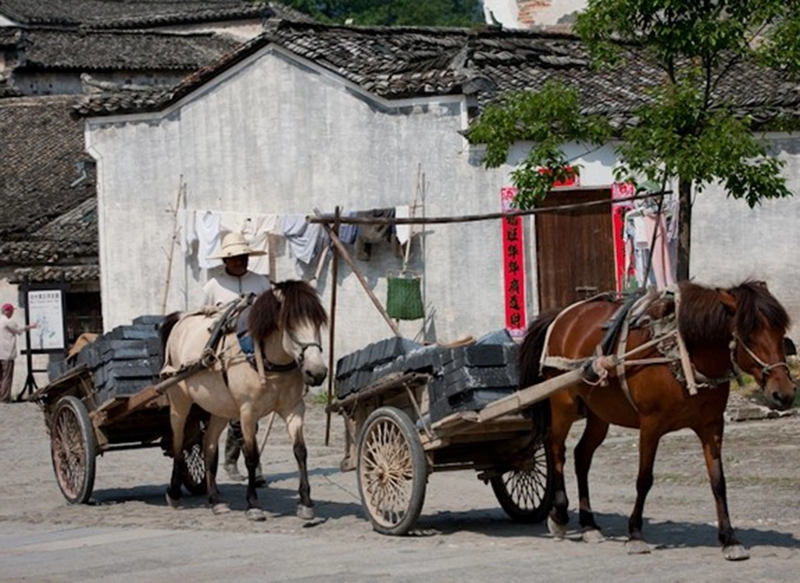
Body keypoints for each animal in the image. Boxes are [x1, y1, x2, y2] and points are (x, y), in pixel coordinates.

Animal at [160, 280, 328, 524]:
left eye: (318, 322)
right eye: (289, 324)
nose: (317, 372)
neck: (267, 358)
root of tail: (182, 318)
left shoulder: (294, 408)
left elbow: (300, 451)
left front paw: (305, 503)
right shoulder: (248, 412)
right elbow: (251, 456)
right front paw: (253, 505)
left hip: (219, 408)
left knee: (209, 447)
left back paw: (216, 500)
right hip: (179, 401)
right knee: (178, 443)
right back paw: (173, 493)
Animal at [520, 280, 792, 564]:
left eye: (781, 333)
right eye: (748, 337)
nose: (783, 394)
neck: (682, 355)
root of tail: (563, 315)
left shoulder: (712, 425)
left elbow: (718, 481)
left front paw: (730, 539)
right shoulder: (651, 425)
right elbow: (644, 479)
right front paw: (635, 534)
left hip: (599, 412)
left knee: (582, 455)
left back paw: (589, 524)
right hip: (563, 401)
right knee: (556, 450)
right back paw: (560, 515)